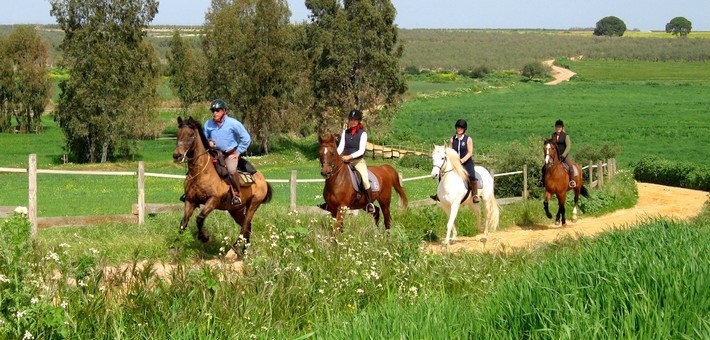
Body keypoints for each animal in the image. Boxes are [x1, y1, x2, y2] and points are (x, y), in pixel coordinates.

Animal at [172, 117, 272, 252]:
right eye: (178, 134)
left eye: (191, 134)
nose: (177, 155)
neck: (201, 172)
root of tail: (262, 179)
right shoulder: (190, 200)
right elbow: (183, 224)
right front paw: (175, 245)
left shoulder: (213, 200)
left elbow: (200, 218)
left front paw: (204, 237)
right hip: (236, 210)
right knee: (248, 227)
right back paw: (243, 252)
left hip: (253, 205)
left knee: (245, 226)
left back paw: (234, 250)